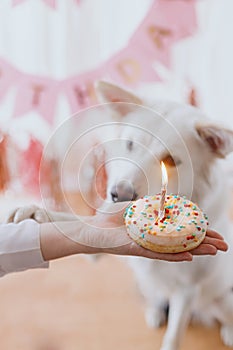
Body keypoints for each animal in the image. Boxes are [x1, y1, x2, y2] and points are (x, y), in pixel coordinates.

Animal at [9, 80, 233, 348]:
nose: (119, 194)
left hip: (222, 298)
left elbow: (173, 337)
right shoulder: (98, 243)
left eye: (170, 160)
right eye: (131, 144)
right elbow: (79, 221)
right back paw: (155, 312)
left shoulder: (187, 291)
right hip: (147, 285)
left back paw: (228, 331)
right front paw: (34, 213)